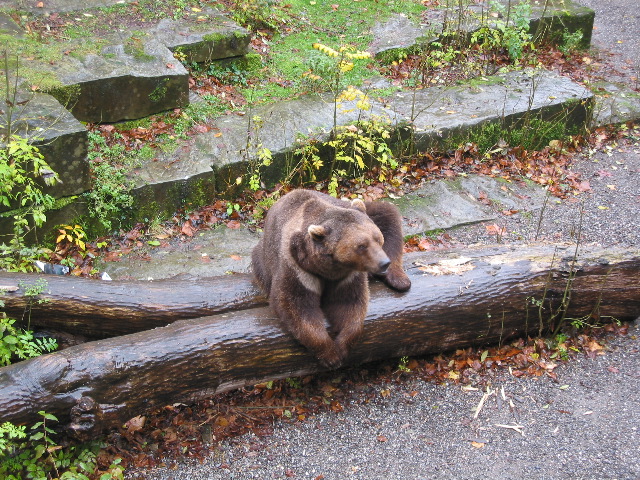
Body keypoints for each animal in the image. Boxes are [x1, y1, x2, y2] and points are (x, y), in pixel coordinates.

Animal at [251, 189, 410, 368]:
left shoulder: (348, 275)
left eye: (377, 238)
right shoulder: (298, 269)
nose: (383, 263)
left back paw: (399, 279)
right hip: (262, 261)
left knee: (387, 214)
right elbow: (296, 306)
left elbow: (350, 304)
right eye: (361, 246)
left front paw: (342, 345)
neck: (330, 269)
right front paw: (331, 355)